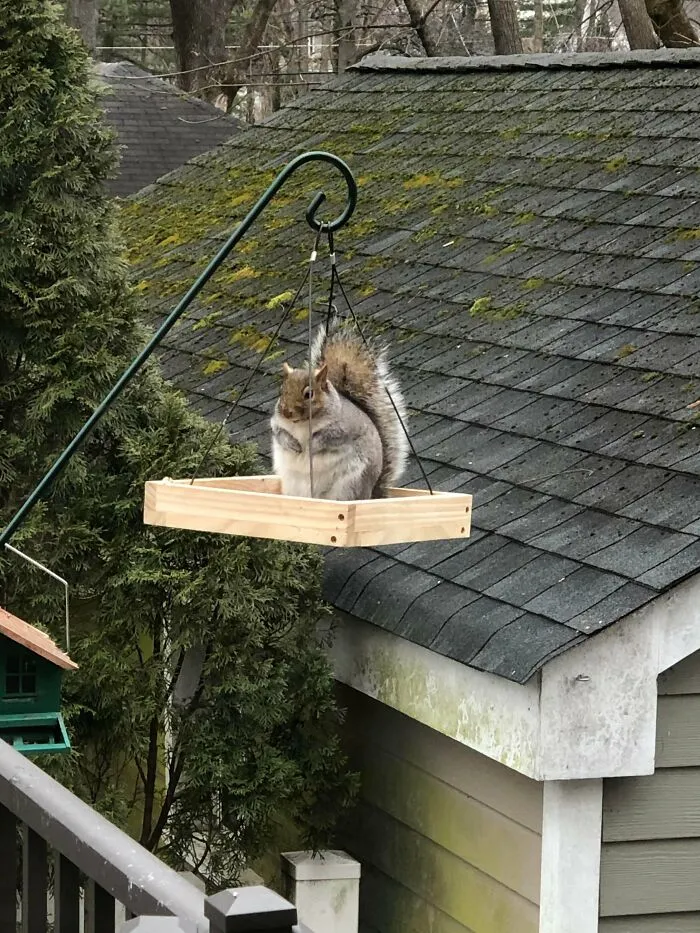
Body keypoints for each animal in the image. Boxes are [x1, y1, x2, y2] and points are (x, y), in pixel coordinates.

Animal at [270, 322, 409, 500]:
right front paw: (293, 445)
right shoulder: (277, 423)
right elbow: (280, 434)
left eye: (309, 394)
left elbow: (328, 438)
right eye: (282, 391)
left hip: (351, 483)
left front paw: (310, 446)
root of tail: (372, 495)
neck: (302, 423)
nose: (287, 412)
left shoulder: (343, 428)